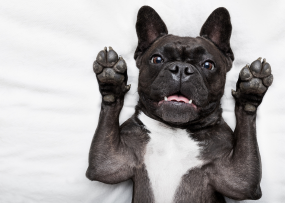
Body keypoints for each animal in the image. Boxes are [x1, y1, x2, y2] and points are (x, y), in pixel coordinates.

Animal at [85, 5, 272, 202]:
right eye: (157, 59)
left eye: (208, 65)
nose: (181, 69)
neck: (175, 130)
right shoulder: (109, 163)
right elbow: (110, 106)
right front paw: (111, 80)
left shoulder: (239, 179)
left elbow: (247, 119)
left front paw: (251, 90)